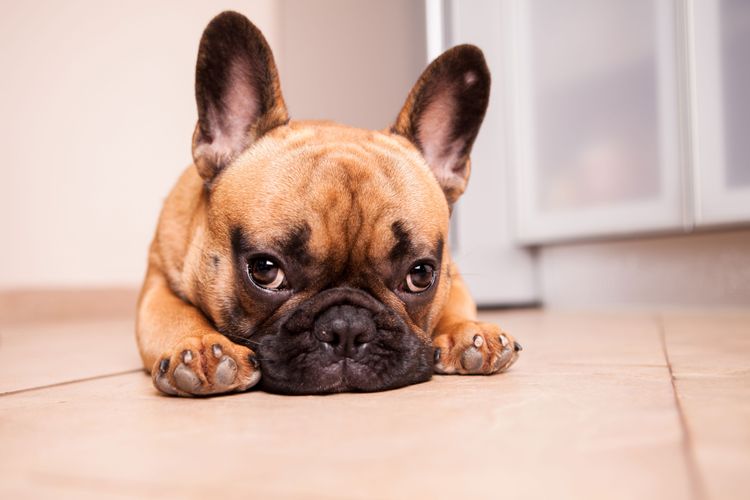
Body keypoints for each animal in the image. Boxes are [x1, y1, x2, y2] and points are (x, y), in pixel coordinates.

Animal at [137, 9, 524, 396]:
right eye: (265, 270)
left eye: (420, 275)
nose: (347, 328)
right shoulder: (157, 288)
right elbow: (175, 314)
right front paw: (202, 346)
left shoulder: (453, 277)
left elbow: (455, 303)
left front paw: (467, 331)